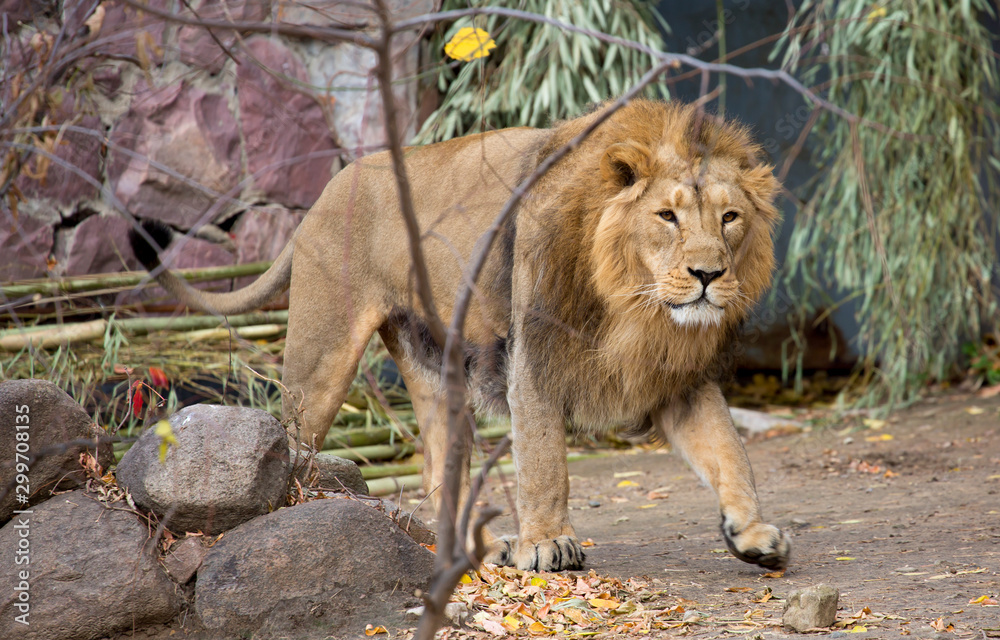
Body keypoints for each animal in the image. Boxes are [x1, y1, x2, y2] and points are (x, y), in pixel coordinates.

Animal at [130, 99, 790, 572]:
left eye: (730, 218)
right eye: (667, 216)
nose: (708, 275)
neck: (635, 304)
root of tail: (325, 192)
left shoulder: (679, 378)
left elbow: (729, 449)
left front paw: (754, 533)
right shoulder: (534, 362)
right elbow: (545, 462)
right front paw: (548, 544)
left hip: (437, 369)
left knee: (434, 471)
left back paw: (482, 547)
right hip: (322, 358)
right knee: (296, 443)